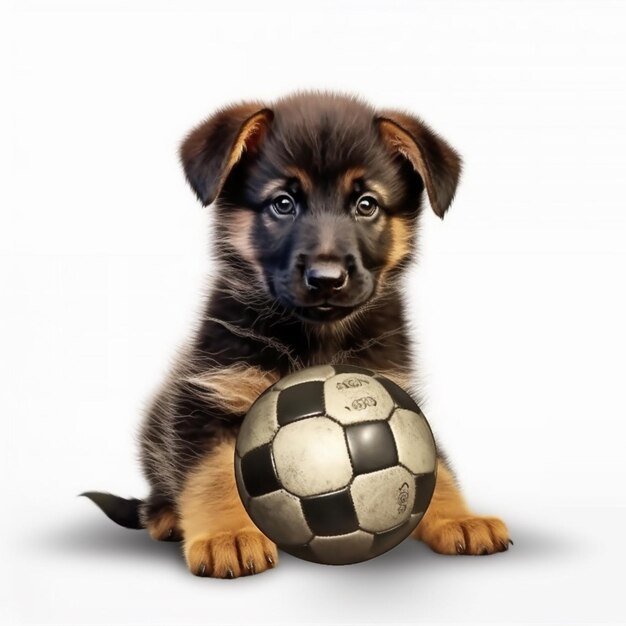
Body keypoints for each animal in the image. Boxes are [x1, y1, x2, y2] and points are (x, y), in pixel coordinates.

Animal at [83, 88, 510, 576]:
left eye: (366, 204)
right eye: (283, 203)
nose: (326, 279)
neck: (315, 336)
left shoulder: (395, 390)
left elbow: (435, 464)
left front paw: (459, 517)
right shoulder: (211, 395)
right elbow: (211, 474)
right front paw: (228, 535)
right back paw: (165, 516)